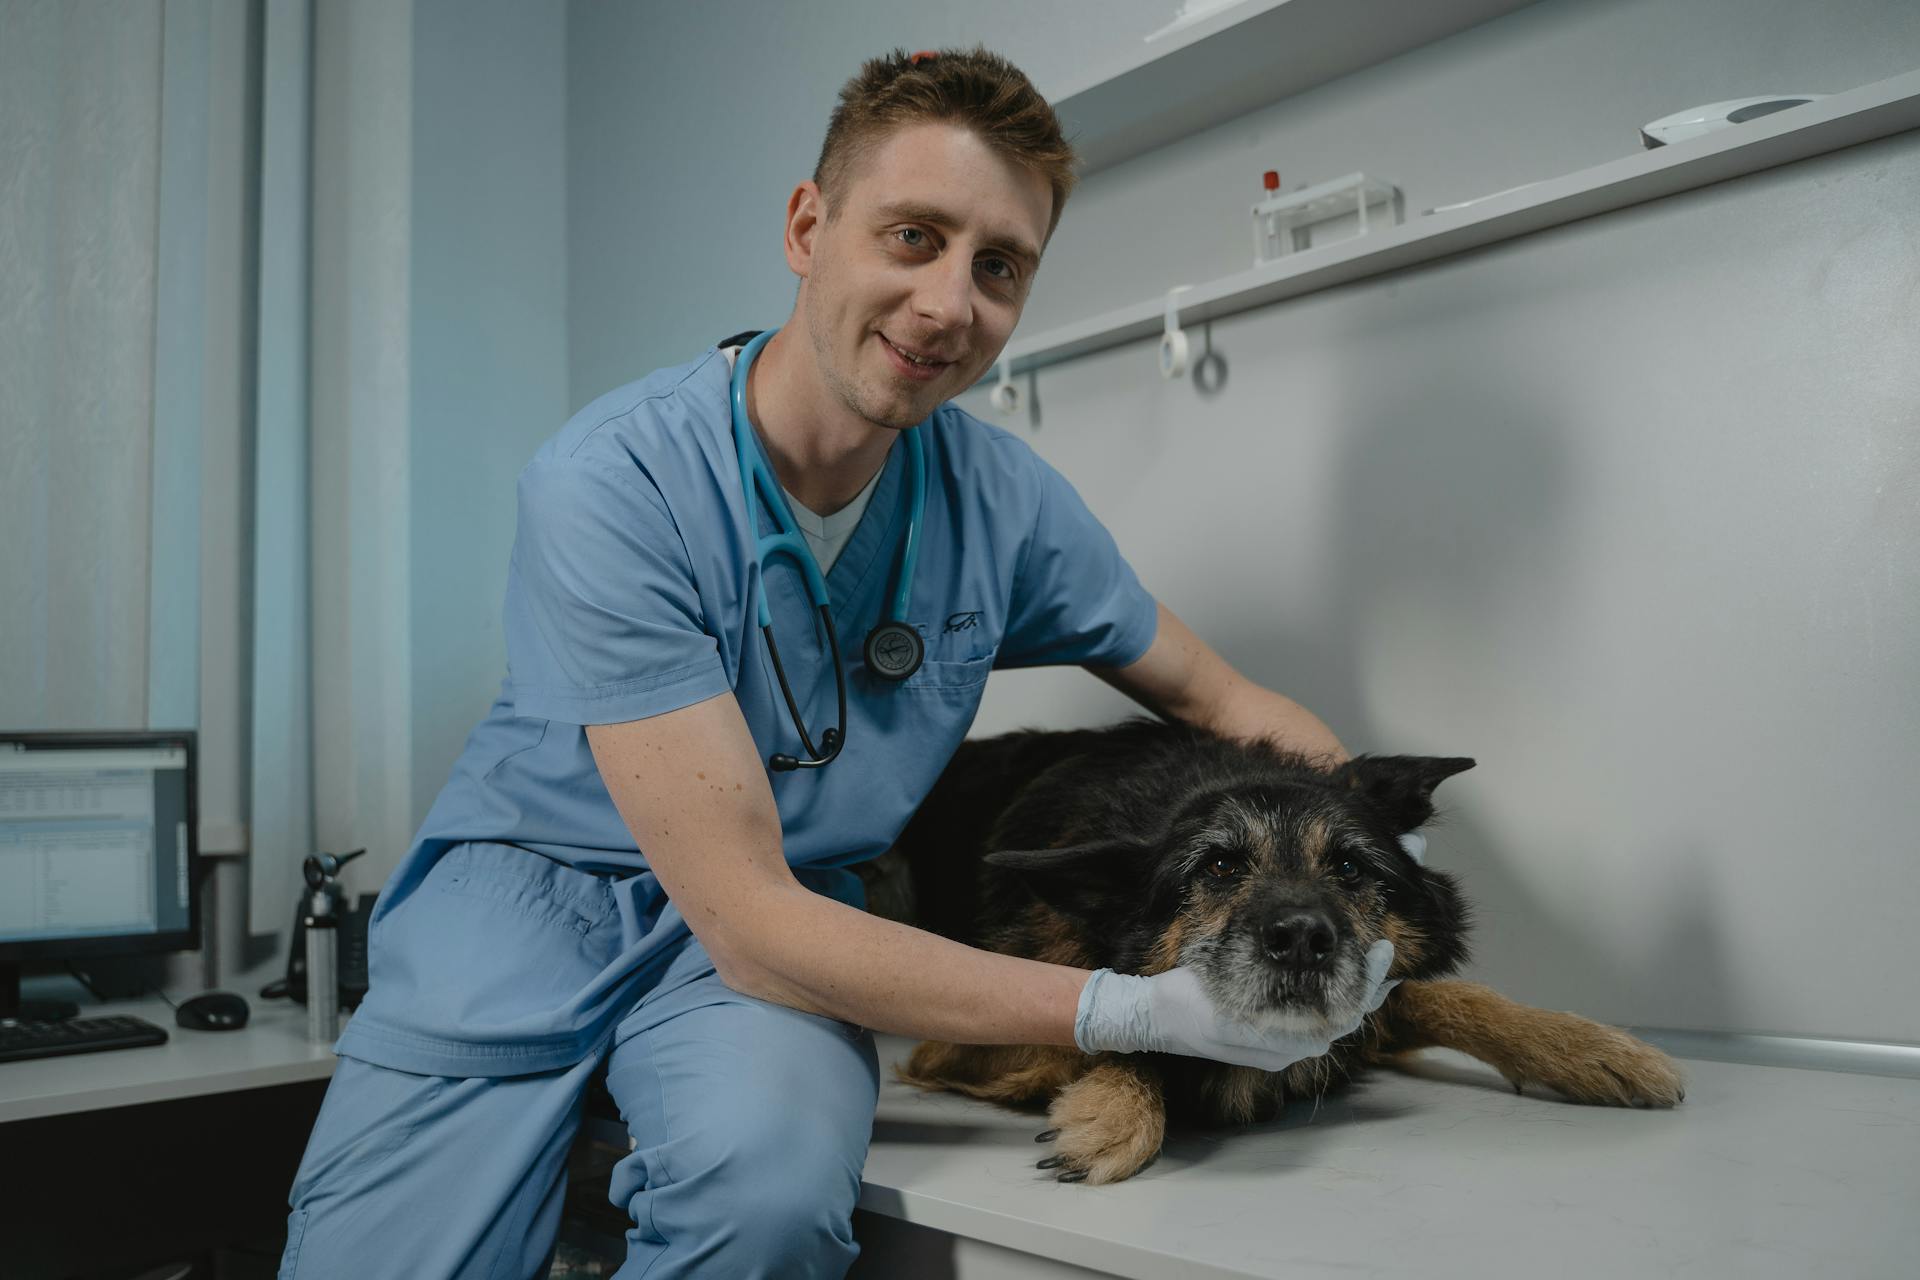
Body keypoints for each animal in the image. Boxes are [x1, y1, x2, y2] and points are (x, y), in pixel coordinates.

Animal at [864, 717, 1689, 1189]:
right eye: (1219, 866)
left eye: (1350, 866)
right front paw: (1116, 1109)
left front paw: (1595, 1048)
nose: (1301, 940)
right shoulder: (956, 1041)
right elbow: (1117, 1033)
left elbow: (1444, 994)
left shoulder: (1369, 1005)